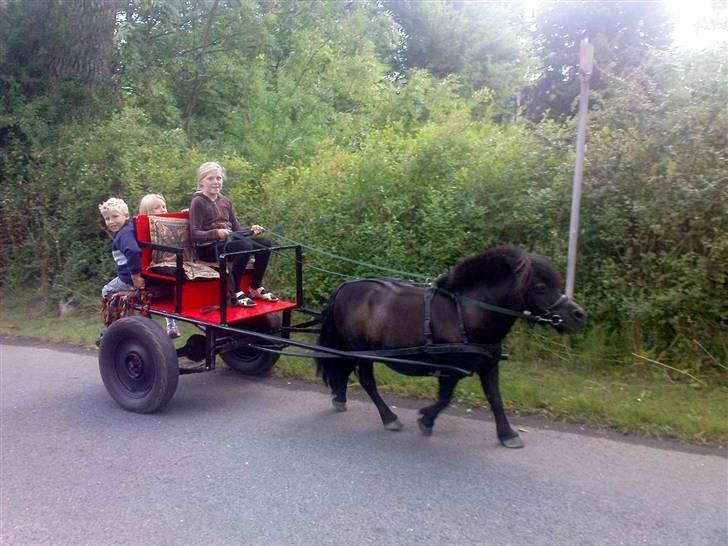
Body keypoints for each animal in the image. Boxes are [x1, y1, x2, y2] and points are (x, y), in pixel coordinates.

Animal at [318, 246, 584, 446]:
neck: (467, 313)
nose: (579, 315)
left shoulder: (489, 365)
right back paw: (389, 417)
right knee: (367, 381)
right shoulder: (451, 368)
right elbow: (445, 398)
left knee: (343, 367)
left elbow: (495, 398)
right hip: (362, 350)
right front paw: (426, 419)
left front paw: (507, 434)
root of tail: (345, 287)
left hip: (352, 348)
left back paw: (340, 398)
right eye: (540, 286)